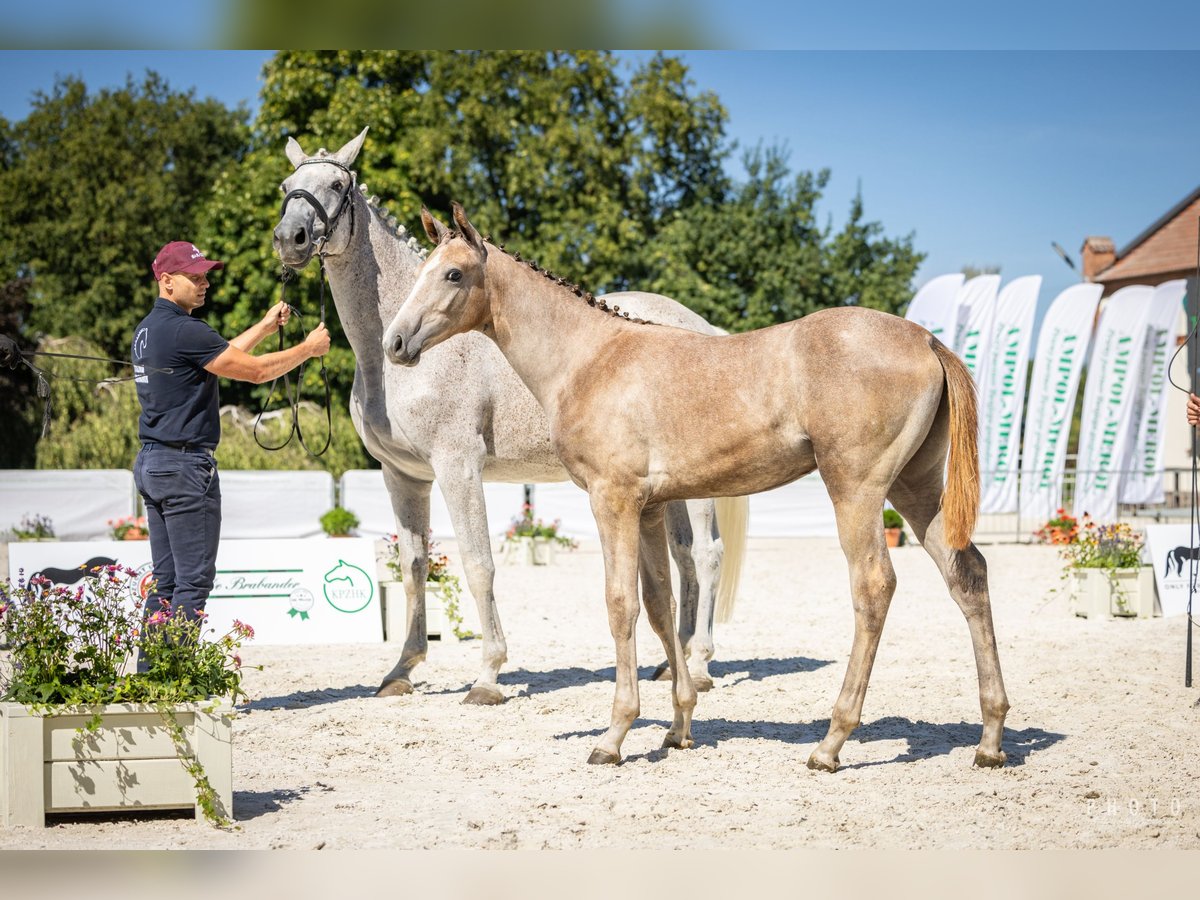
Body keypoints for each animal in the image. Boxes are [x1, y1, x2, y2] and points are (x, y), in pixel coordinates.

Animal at [270, 128, 748, 705]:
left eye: (338, 185)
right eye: (288, 185)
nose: (292, 238)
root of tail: (704, 328)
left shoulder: (457, 466)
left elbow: (479, 565)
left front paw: (488, 676)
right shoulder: (402, 476)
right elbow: (412, 568)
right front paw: (401, 670)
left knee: (707, 554)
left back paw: (698, 666)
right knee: (683, 557)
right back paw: (668, 665)